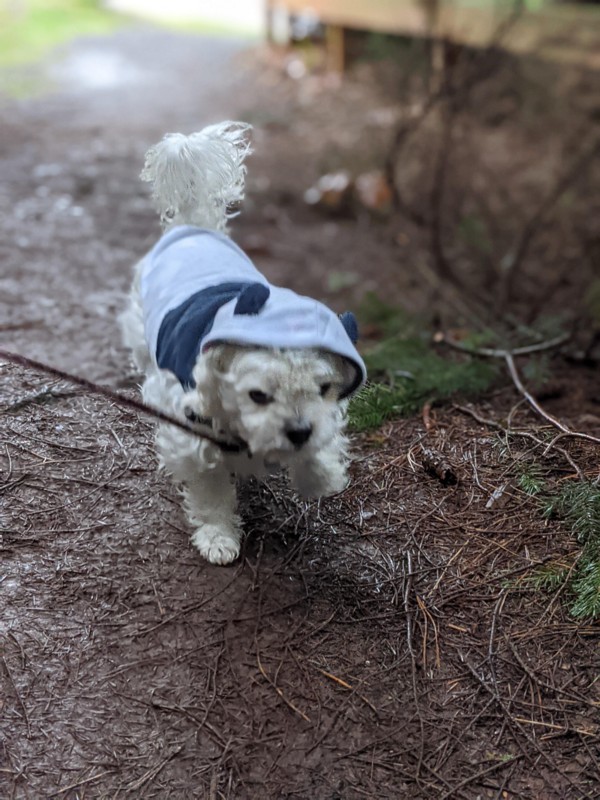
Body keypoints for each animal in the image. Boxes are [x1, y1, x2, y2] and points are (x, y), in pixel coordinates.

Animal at [120, 122, 366, 564]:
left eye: (323, 388)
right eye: (258, 395)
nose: (298, 431)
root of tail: (193, 225)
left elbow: (325, 440)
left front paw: (320, 473)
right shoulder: (190, 434)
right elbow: (211, 491)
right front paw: (218, 535)